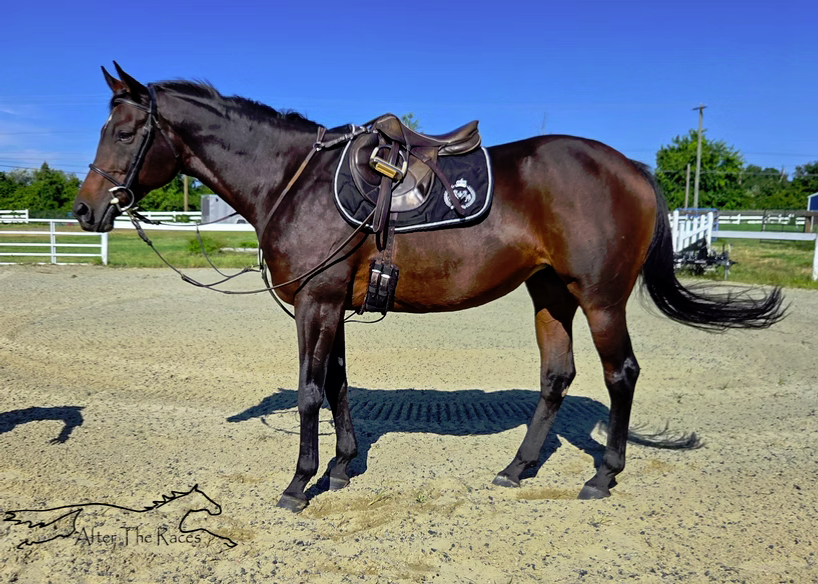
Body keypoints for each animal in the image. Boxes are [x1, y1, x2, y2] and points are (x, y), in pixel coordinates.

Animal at [73, 63, 784, 512]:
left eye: (126, 132)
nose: (85, 210)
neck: (294, 180)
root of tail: (630, 167)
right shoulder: (333, 305)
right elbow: (338, 384)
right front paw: (341, 467)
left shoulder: (315, 304)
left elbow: (309, 392)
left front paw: (300, 483)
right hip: (550, 293)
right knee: (557, 376)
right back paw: (517, 467)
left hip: (600, 297)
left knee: (621, 375)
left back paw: (603, 477)